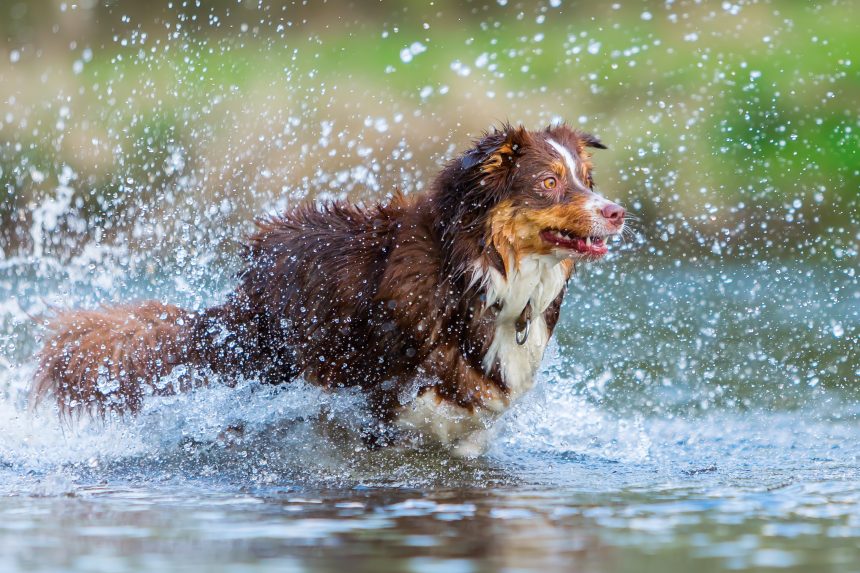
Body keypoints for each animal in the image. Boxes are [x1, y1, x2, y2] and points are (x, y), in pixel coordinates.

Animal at [31, 124, 624, 456]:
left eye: (585, 179)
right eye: (549, 182)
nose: (616, 212)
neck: (472, 275)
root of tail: (246, 280)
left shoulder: (471, 426)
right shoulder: (380, 410)